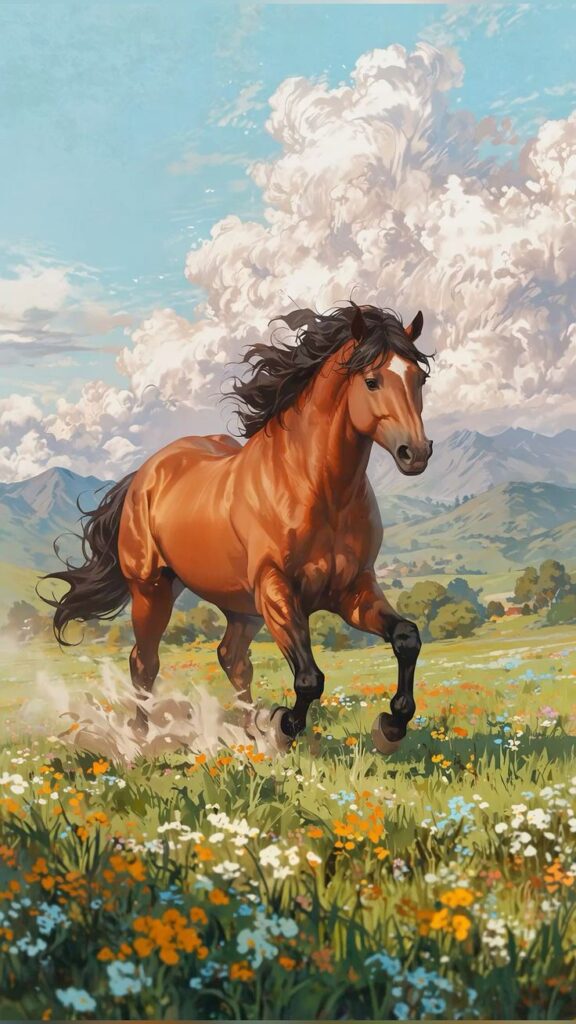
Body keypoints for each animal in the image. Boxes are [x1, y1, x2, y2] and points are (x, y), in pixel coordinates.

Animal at [42, 301, 433, 754]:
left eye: (419, 378)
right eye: (371, 380)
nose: (416, 452)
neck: (314, 488)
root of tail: (145, 473)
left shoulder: (353, 589)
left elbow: (406, 637)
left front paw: (391, 726)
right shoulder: (275, 589)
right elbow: (309, 678)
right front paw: (282, 725)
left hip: (240, 608)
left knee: (232, 659)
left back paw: (247, 734)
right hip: (152, 590)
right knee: (145, 662)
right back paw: (141, 739)